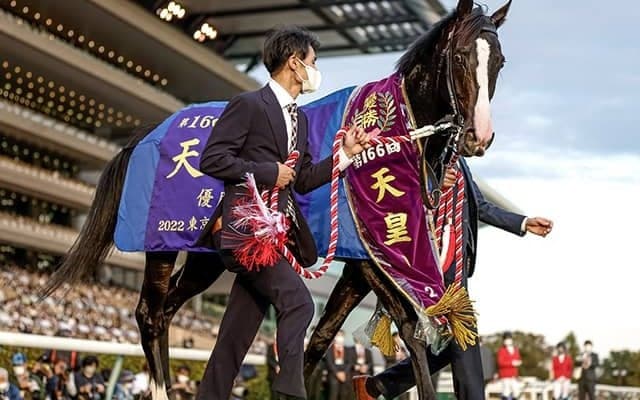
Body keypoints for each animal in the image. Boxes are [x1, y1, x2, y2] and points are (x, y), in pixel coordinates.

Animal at [40, 1, 511, 399]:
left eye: (499, 62)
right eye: (460, 57)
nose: (479, 137)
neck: (396, 133)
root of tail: (145, 134)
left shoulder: (360, 263)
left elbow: (319, 340)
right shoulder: (371, 255)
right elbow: (412, 332)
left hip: (208, 254)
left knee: (170, 308)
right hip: (162, 241)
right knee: (150, 314)